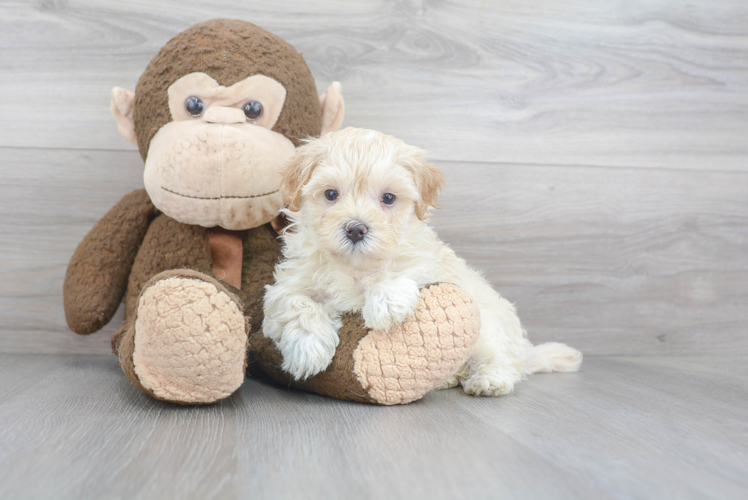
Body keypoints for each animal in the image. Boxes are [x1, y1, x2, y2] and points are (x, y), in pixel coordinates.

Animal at [262, 127, 584, 396]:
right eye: (330, 194)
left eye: (388, 198)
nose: (356, 229)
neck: (355, 265)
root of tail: (524, 350)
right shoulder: (286, 286)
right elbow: (297, 304)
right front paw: (307, 348)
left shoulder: (428, 265)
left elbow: (398, 270)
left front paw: (386, 303)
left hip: (487, 328)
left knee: (501, 359)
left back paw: (489, 380)